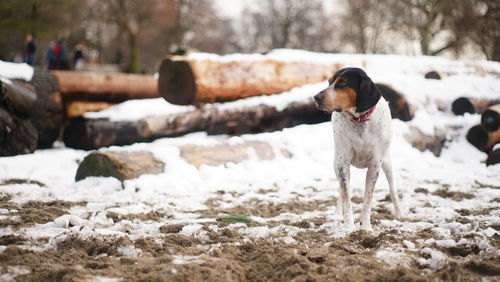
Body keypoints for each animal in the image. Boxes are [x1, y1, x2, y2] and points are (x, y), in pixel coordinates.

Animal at [314, 68, 404, 231]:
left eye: (343, 83)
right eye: (329, 82)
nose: (316, 97)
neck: (359, 120)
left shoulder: (375, 165)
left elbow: (368, 199)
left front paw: (366, 227)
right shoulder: (343, 163)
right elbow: (346, 197)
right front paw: (349, 226)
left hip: (387, 163)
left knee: (392, 189)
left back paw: (399, 213)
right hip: (336, 165)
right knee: (341, 190)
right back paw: (337, 214)